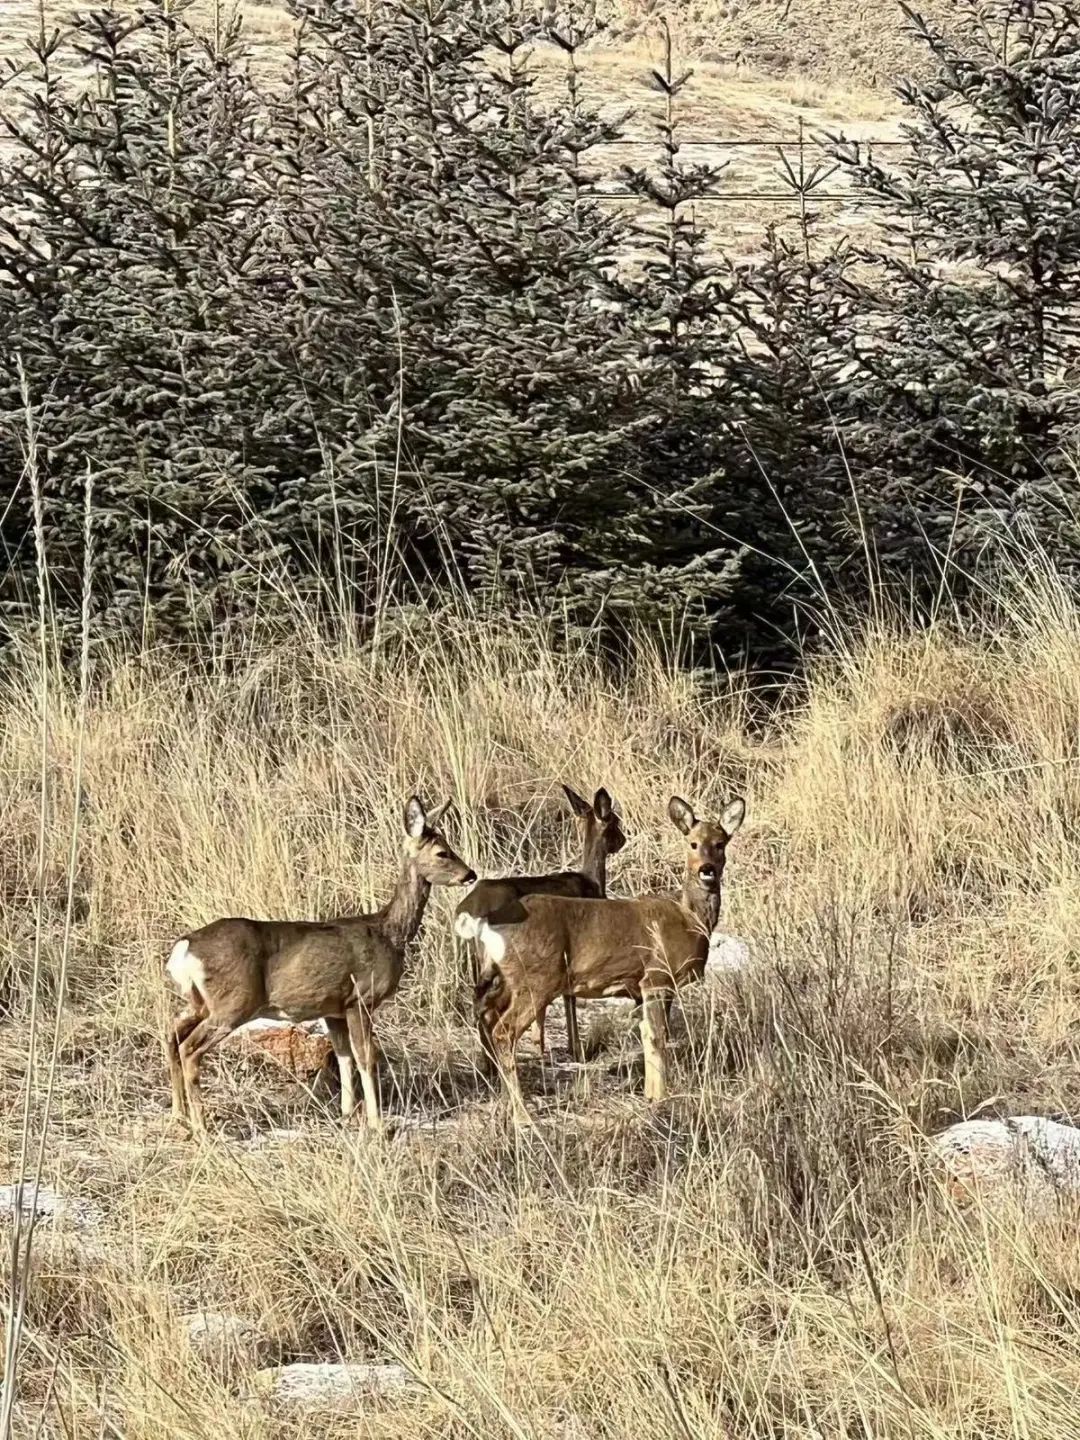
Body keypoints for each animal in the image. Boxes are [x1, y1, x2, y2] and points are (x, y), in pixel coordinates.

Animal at [164, 796, 476, 1135]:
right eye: (442, 852)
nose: (470, 874)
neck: (389, 933)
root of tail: (184, 948)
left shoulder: (333, 1009)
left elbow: (343, 1057)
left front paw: (346, 1114)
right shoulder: (360, 999)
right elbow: (366, 1058)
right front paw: (377, 1124)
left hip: (200, 1003)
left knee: (172, 1035)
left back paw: (178, 1116)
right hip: (232, 1004)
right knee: (189, 1048)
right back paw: (201, 1127)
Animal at [452, 785, 626, 1062]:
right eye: (615, 822)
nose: (623, 839)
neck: (592, 884)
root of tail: (465, 911)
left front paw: (539, 1046)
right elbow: (569, 998)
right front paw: (574, 1049)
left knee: (479, 1002)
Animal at [473, 794, 745, 1107]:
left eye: (720, 843)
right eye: (693, 843)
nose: (706, 870)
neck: (690, 917)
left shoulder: (650, 987)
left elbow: (650, 1034)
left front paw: (650, 1094)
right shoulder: (656, 977)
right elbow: (657, 1037)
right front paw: (660, 1097)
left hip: (508, 980)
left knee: (488, 1016)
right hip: (536, 980)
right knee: (503, 1031)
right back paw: (522, 1112)